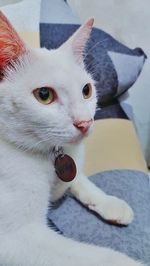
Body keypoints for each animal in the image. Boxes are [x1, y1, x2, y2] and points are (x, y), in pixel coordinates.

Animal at [0, 11, 145, 266]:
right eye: (44, 95)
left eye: (86, 90)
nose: (85, 123)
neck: (47, 155)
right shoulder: (15, 238)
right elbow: (102, 257)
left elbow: (78, 177)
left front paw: (108, 201)